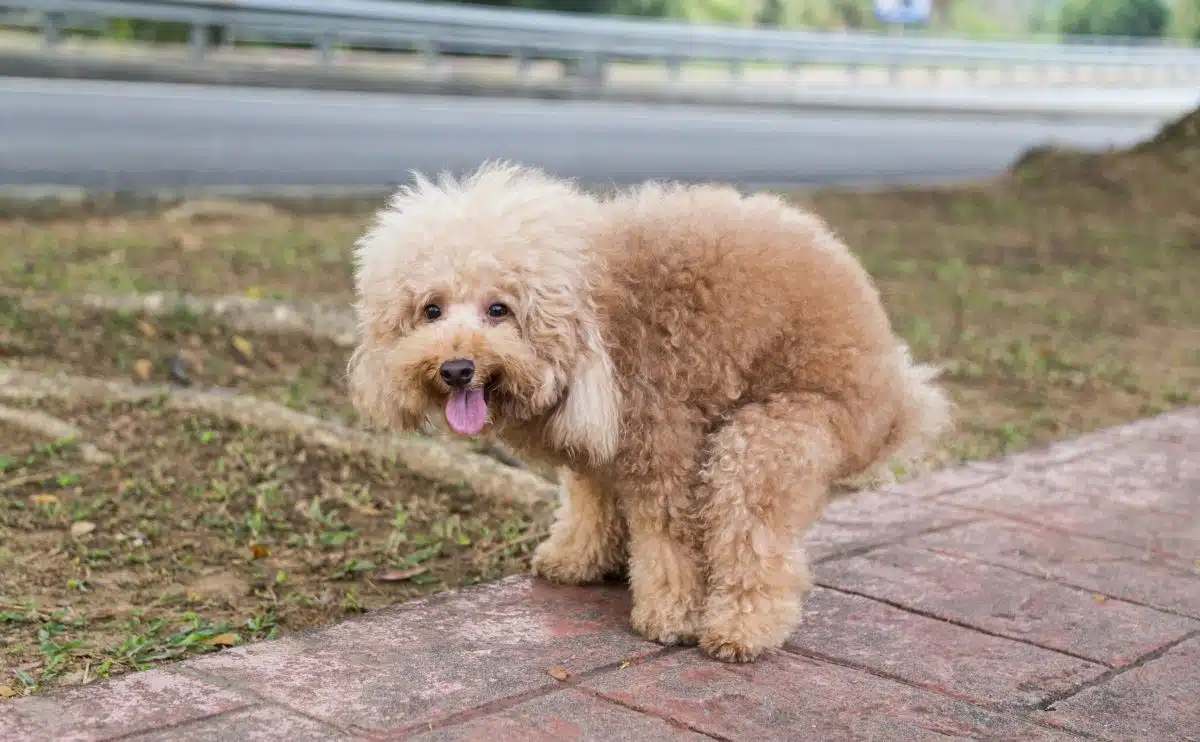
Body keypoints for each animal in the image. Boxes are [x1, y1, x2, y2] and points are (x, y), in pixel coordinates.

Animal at [350, 160, 955, 657]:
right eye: (431, 310)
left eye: (499, 309)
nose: (456, 369)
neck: (595, 309)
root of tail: (898, 396)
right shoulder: (596, 448)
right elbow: (591, 502)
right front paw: (576, 559)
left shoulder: (662, 442)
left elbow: (669, 539)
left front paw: (671, 616)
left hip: (773, 435)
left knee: (753, 534)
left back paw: (741, 629)